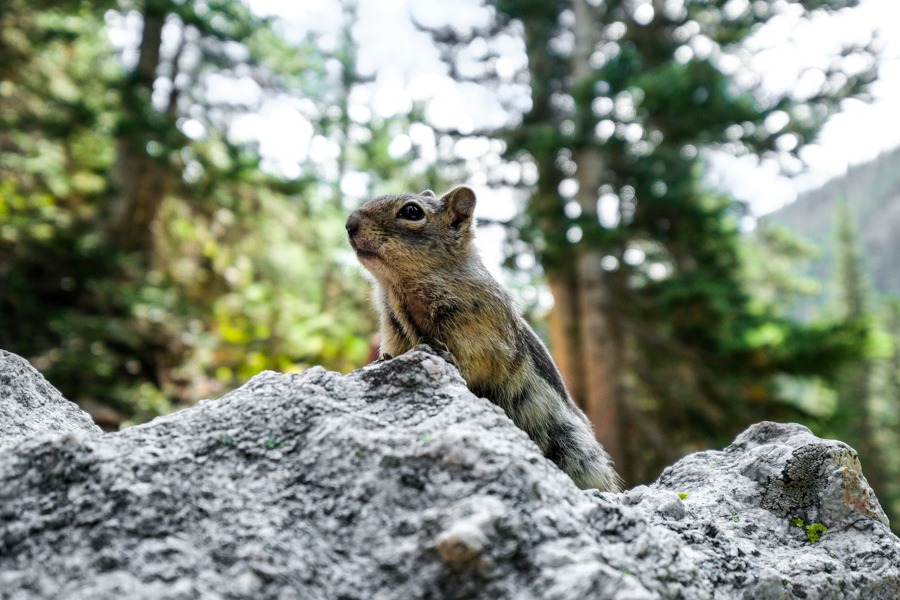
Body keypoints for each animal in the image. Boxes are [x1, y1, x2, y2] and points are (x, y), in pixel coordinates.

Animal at [344, 188, 620, 492]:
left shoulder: (482, 332)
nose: (349, 223)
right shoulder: (394, 331)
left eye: (412, 212)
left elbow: (474, 365)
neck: (401, 291)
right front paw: (383, 360)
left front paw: (442, 356)